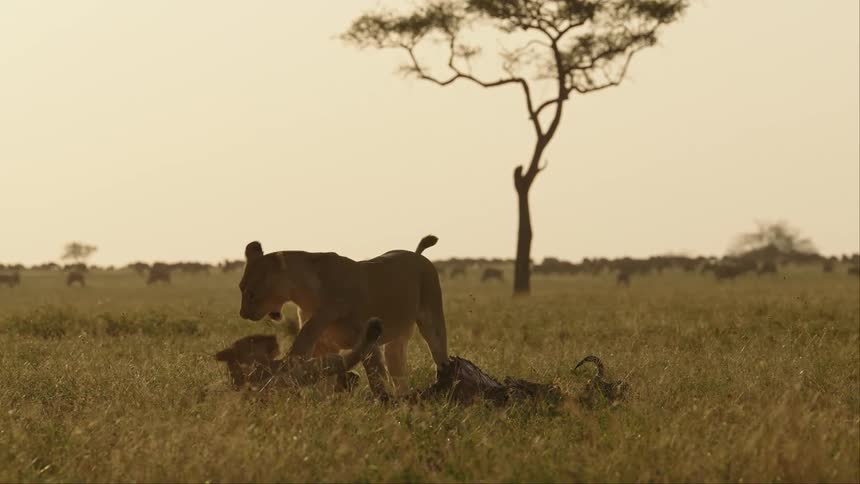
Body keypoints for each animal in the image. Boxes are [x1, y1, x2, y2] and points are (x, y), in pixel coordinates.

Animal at [237, 234, 449, 398]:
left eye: (251, 293)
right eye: (240, 288)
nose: (243, 314)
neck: (305, 295)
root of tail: (416, 254)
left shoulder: (366, 340)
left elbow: (375, 376)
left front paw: (382, 401)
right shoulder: (323, 344)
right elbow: (323, 378)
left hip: (432, 322)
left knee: (439, 355)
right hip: (397, 340)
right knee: (398, 369)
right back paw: (406, 397)